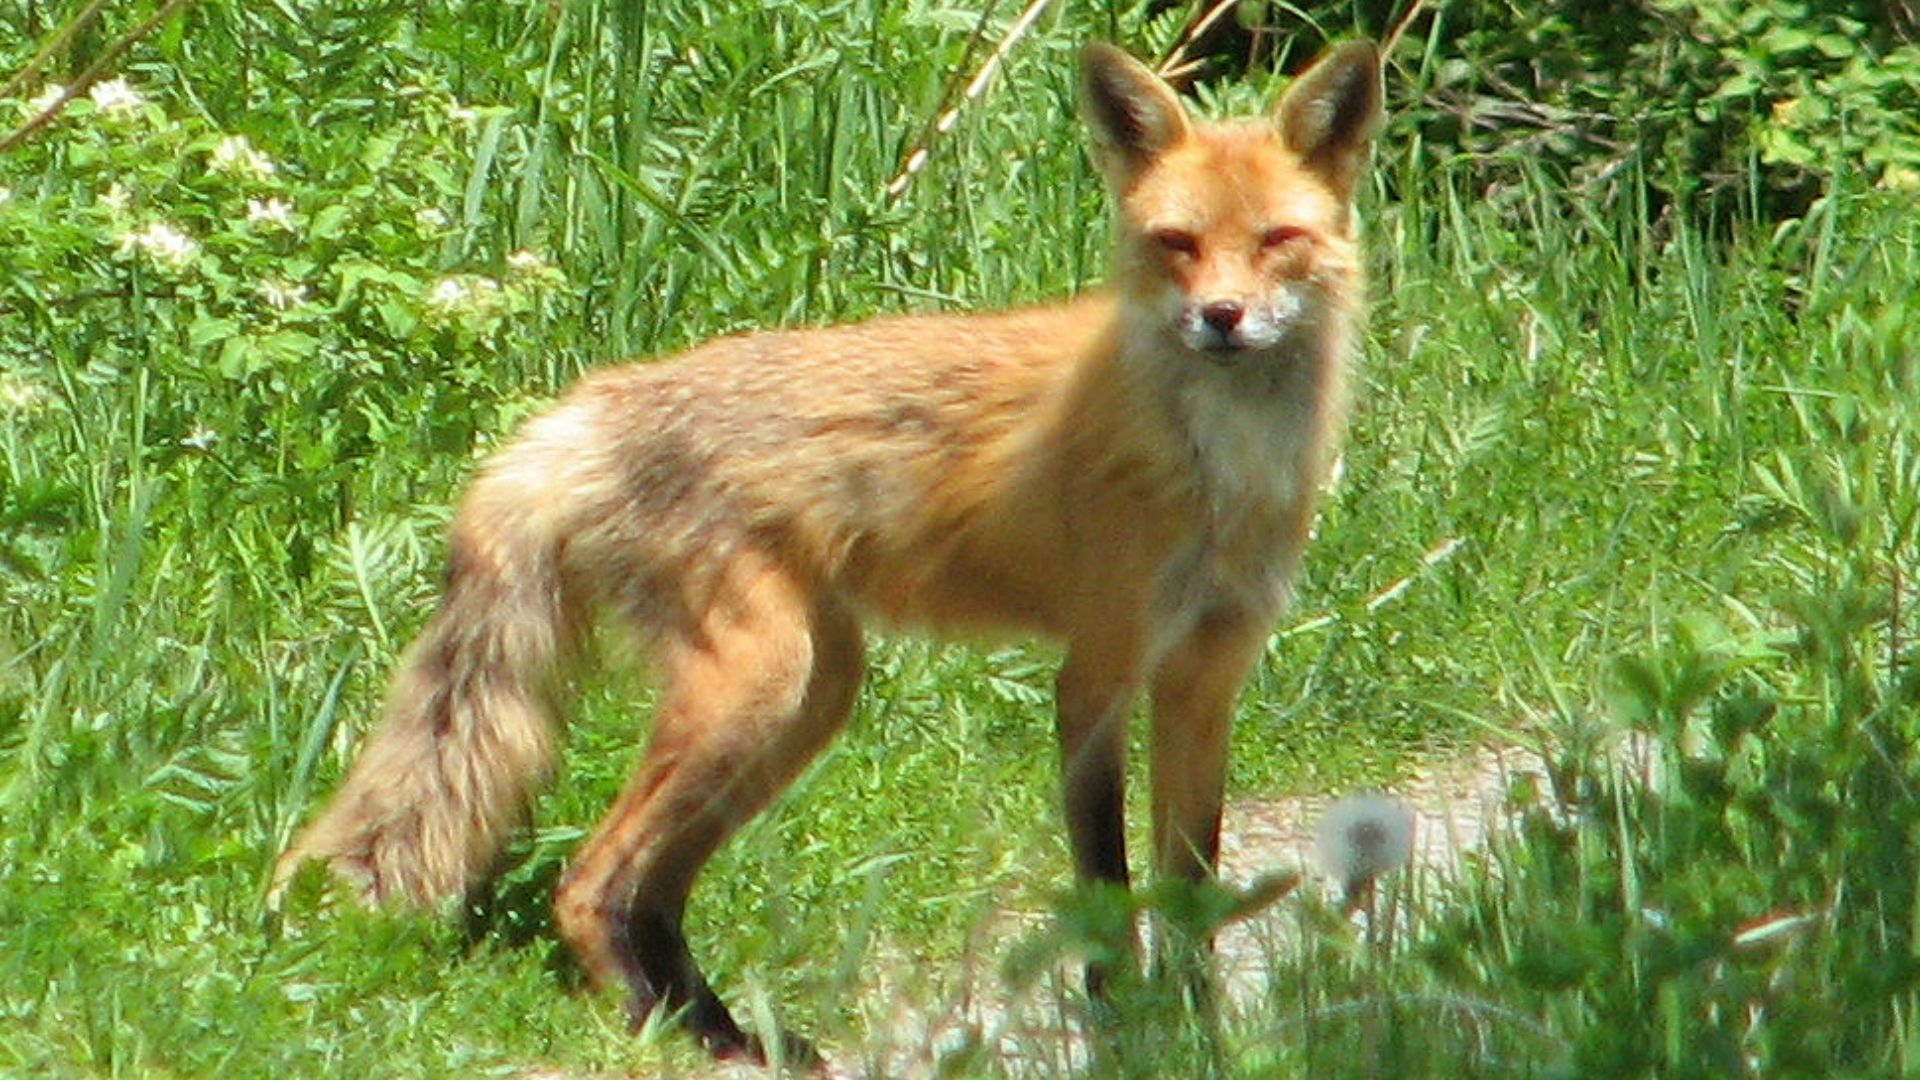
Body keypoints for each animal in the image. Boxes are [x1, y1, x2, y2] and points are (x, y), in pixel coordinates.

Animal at [272, 38, 1384, 1066]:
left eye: (1278, 240)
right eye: (1176, 244)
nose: (1221, 319)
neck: (1220, 468)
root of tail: (580, 408)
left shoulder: (1206, 678)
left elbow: (1191, 888)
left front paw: (1200, 1035)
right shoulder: (1097, 672)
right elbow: (1107, 884)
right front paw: (1126, 1033)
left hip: (807, 699)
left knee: (653, 892)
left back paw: (726, 1034)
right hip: (756, 688)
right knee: (589, 885)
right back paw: (665, 1038)